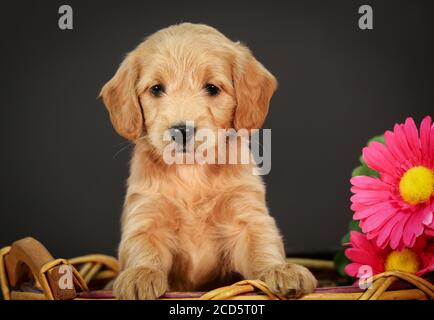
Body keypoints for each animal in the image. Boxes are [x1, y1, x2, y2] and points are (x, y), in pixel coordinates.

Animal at [100, 23, 318, 300]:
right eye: (156, 89)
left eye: (212, 88)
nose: (181, 131)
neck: (192, 173)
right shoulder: (146, 215)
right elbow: (142, 246)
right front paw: (140, 274)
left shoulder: (248, 217)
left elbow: (262, 245)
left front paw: (280, 269)